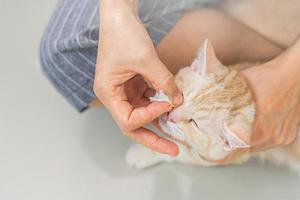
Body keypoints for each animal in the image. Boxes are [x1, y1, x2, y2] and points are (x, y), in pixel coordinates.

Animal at [125, 39, 300, 173]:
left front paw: (141, 154)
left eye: (194, 123)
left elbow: (180, 151)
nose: (170, 116)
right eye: (182, 95)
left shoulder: (222, 157)